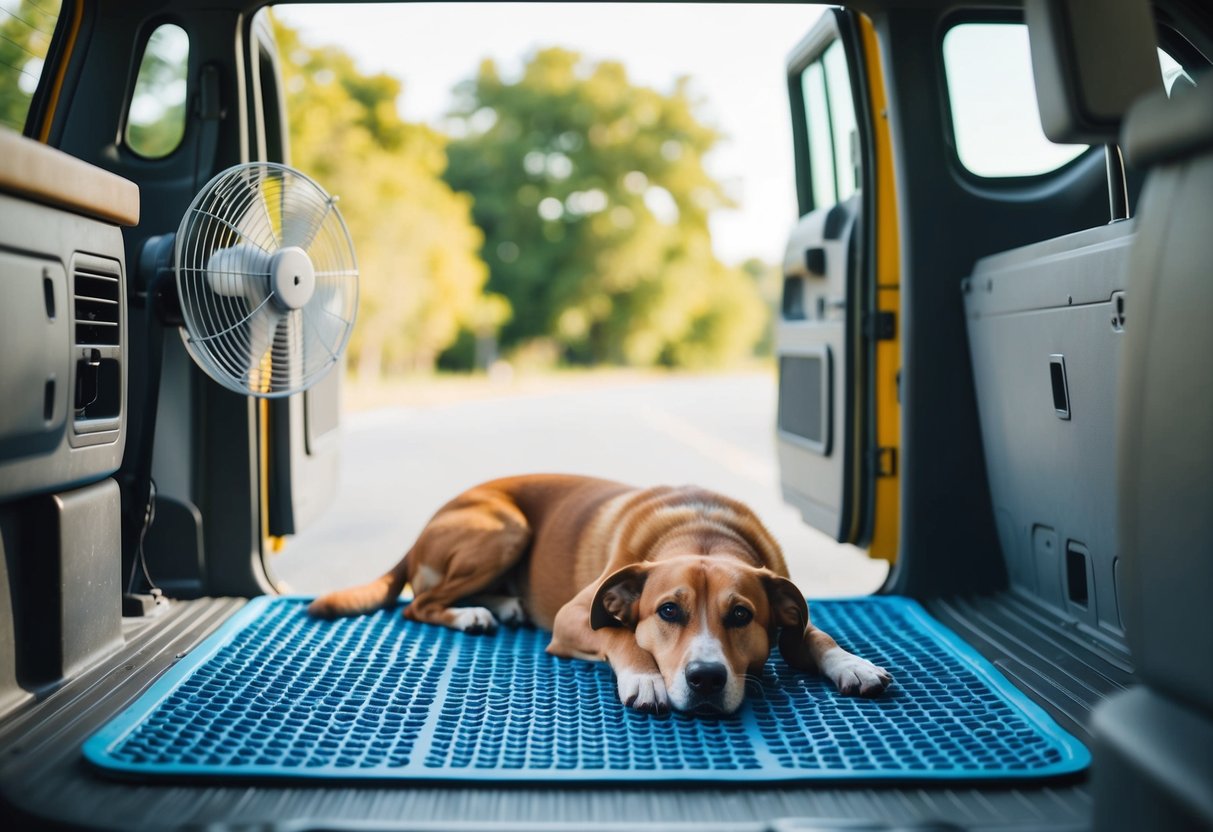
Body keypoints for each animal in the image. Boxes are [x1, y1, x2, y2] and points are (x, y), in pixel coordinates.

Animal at [308, 475, 897, 717]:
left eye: (741, 615)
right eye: (668, 611)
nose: (706, 680)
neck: (703, 532)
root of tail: (423, 528)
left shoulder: (788, 607)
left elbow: (815, 635)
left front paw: (852, 664)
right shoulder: (576, 616)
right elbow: (620, 636)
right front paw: (644, 678)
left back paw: (503, 604)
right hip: (507, 528)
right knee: (418, 603)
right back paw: (473, 612)